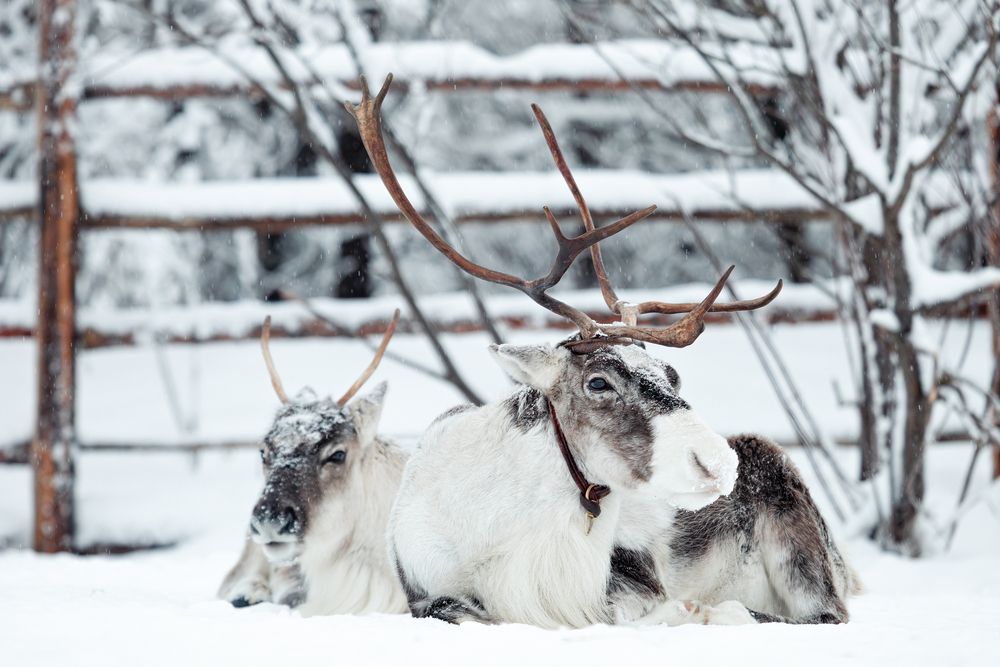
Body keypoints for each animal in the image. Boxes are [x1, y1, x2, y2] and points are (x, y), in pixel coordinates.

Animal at [343, 75, 858, 628]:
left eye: (672, 374)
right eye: (598, 381)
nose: (717, 461)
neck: (504, 534)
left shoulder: (624, 586)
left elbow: (666, 610)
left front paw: (699, 610)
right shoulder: (427, 597)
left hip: (794, 527)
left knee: (822, 614)